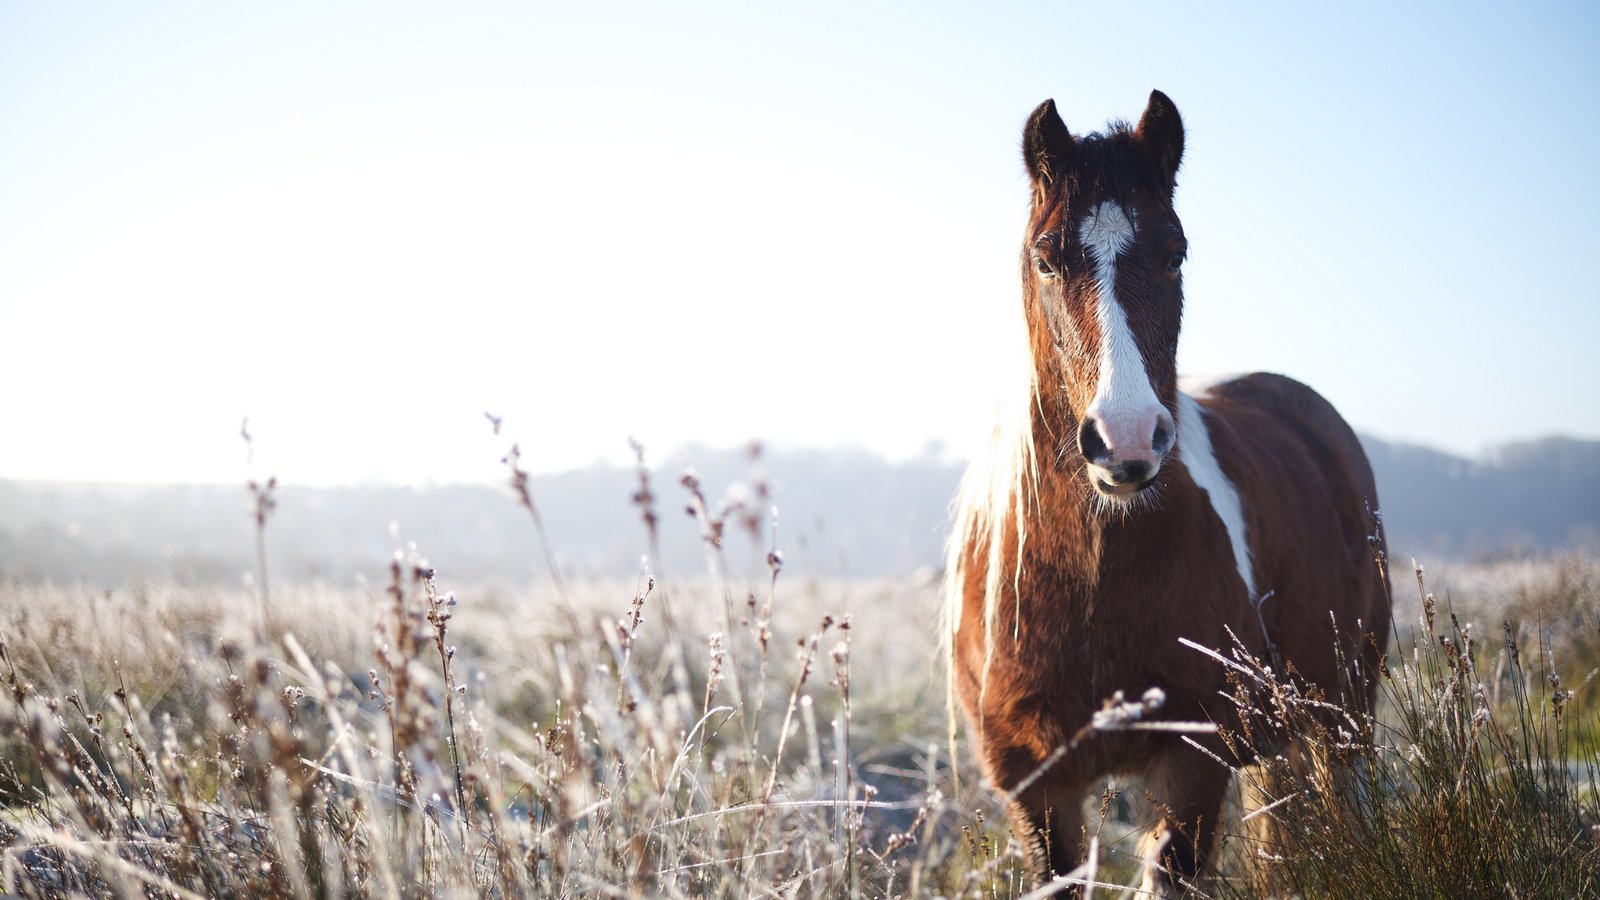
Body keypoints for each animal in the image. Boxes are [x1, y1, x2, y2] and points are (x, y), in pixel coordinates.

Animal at [947, 91, 1388, 883]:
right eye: (1045, 258)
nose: (1125, 440)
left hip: (1343, 717)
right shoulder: (1034, 784)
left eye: (1174, 252)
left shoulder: (1192, 759)